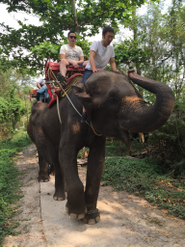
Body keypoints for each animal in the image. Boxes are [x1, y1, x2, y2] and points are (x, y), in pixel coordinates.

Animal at [26, 68, 174, 225]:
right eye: (113, 100)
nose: (131, 70)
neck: (85, 85)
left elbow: (97, 160)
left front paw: (92, 218)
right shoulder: (70, 119)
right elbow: (66, 152)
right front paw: (76, 214)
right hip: (47, 130)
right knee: (55, 157)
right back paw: (59, 197)